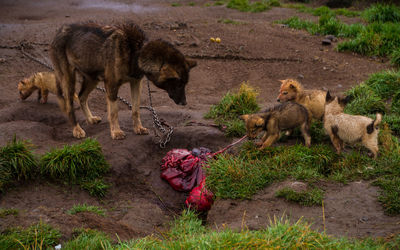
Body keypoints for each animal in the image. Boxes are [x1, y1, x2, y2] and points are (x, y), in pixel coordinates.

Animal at [50, 22, 198, 140]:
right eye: (178, 84)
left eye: (184, 84)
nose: (185, 103)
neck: (136, 52)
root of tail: (58, 31)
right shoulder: (111, 86)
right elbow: (114, 112)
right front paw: (116, 132)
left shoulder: (136, 84)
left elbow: (136, 109)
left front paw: (138, 128)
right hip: (69, 81)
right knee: (69, 107)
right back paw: (77, 129)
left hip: (92, 79)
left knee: (81, 97)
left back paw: (90, 119)